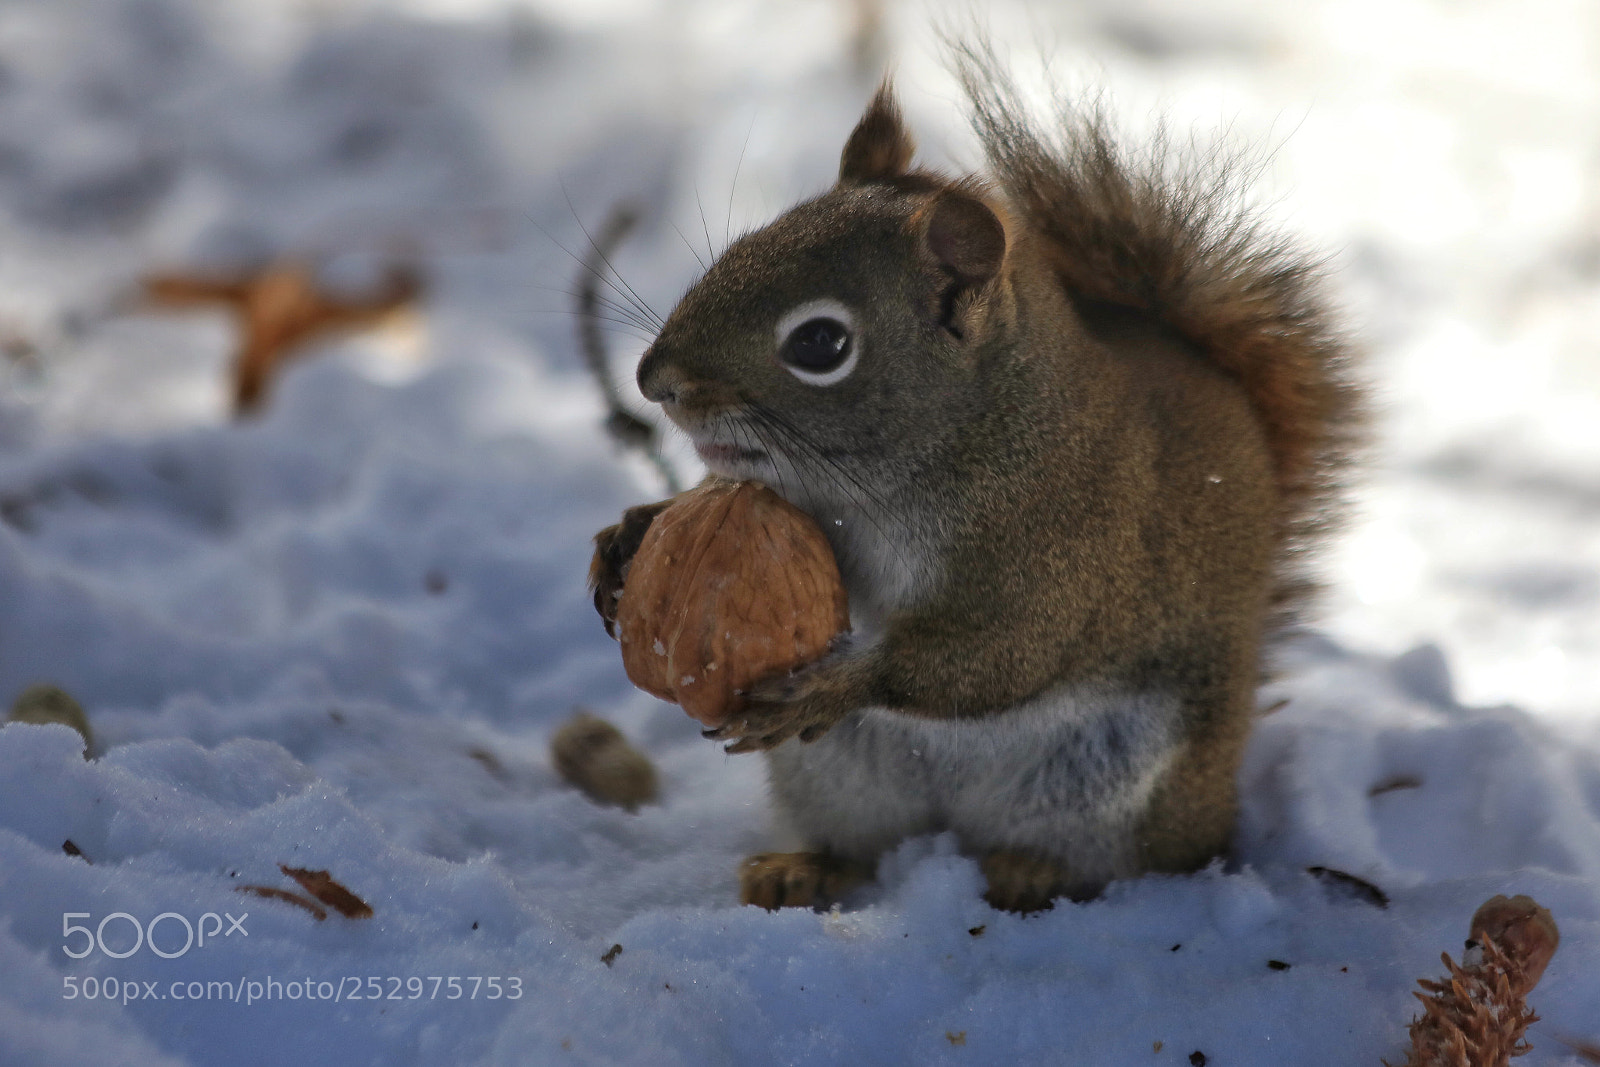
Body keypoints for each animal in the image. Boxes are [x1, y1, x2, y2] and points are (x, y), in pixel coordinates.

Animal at [590, 51, 1360, 913]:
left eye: (820, 343)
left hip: (1118, 782)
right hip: (837, 777)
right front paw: (630, 536)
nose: (652, 380)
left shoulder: (1057, 548)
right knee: (861, 842)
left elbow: (994, 656)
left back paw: (1033, 872)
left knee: (1124, 859)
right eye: (741, 247)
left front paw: (835, 686)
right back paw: (805, 868)